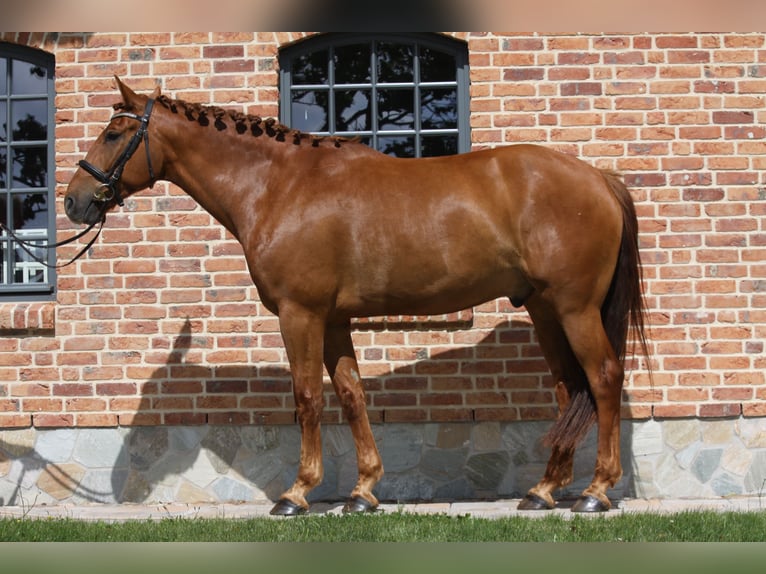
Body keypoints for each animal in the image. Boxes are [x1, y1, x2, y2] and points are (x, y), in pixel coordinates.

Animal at [64, 77, 650, 515]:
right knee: (568, 388)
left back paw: (596, 492)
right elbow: (351, 395)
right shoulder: (333, 319)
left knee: (603, 378)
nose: (74, 202)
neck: (280, 186)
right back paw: (544, 490)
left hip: (575, 309)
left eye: (114, 133)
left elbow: (307, 397)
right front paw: (364, 491)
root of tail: (598, 177)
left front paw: (297, 493)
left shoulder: (300, 314)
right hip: (546, 310)